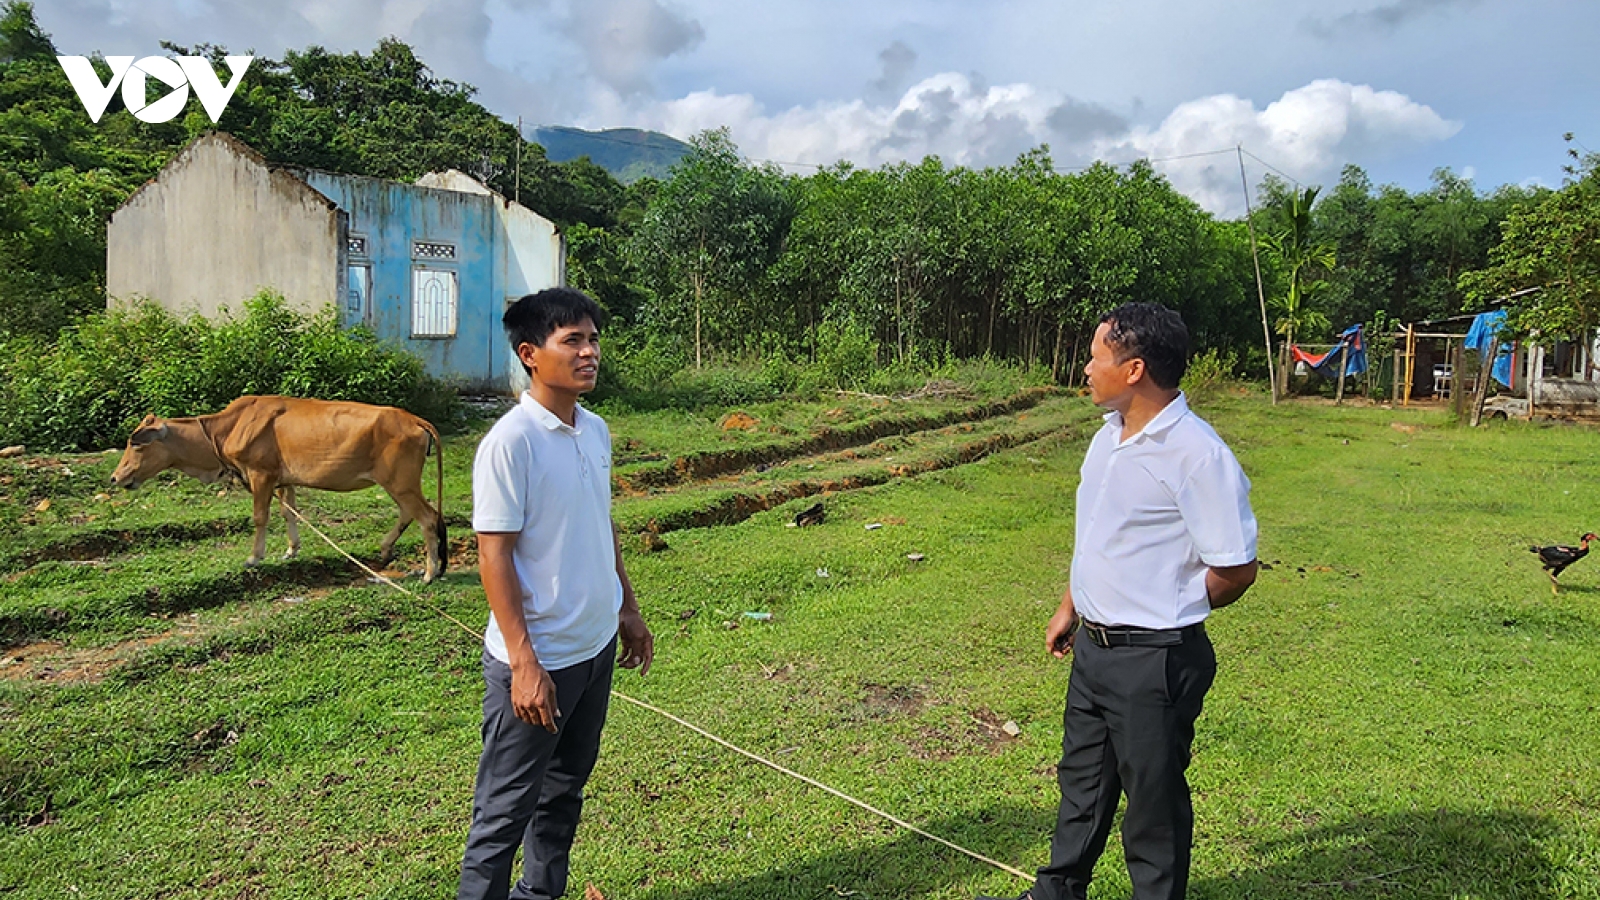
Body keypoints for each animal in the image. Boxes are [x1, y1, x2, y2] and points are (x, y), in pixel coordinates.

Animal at [109, 393, 444, 576]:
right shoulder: (284, 479)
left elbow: (261, 517)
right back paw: (388, 550)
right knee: (410, 513)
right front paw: (291, 549)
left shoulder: (261, 475)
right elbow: (288, 512)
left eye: (136, 444)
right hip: (399, 484)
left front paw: (254, 557)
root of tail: (415, 420)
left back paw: (429, 572)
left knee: (427, 518)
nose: (115, 477)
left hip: (400, 482)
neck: (227, 427)